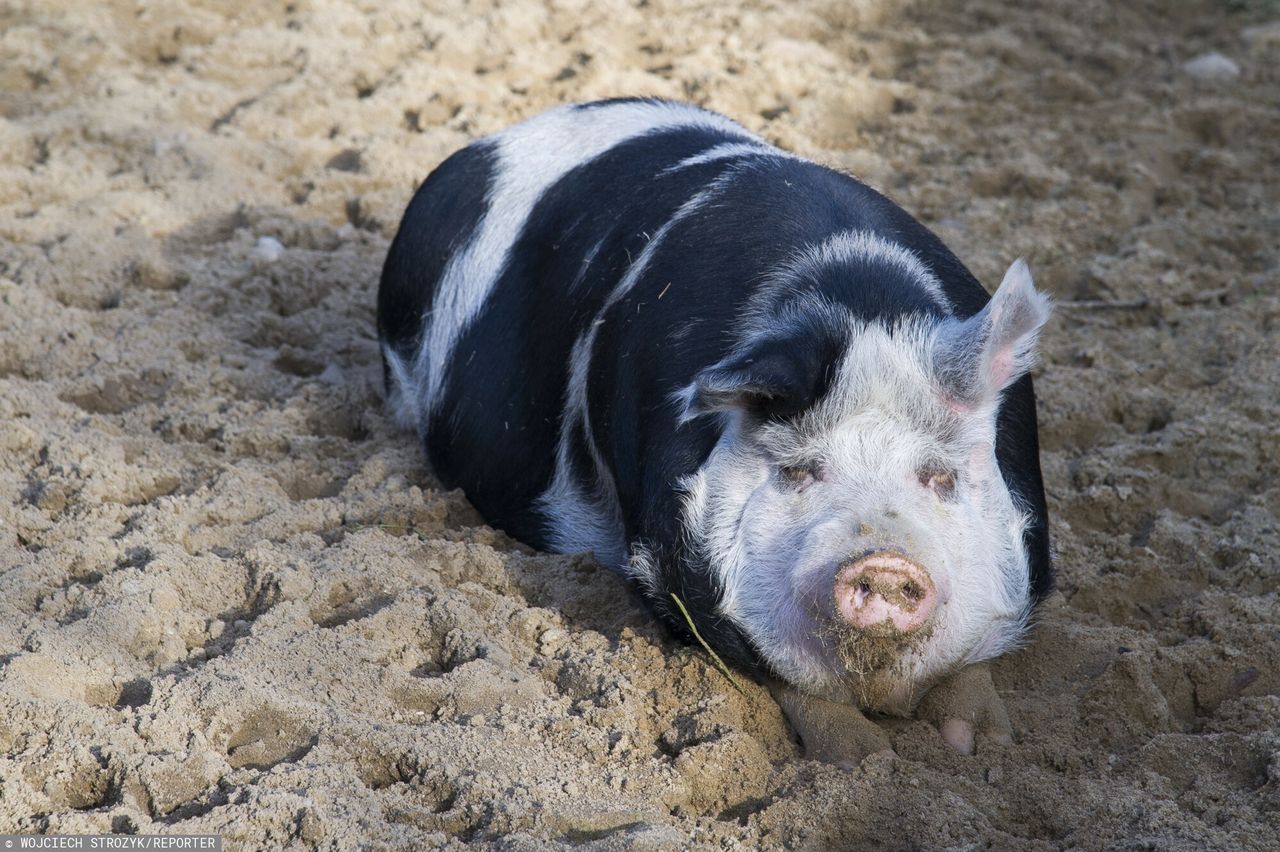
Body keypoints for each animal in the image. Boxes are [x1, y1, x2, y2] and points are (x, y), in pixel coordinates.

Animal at [373, 95, 1054, 757]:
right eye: (799, 471)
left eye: (940, 478)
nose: (885, 563)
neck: (859, 305)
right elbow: (791, 682)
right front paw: (865, 758)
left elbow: (974, 662)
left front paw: (982, 746)